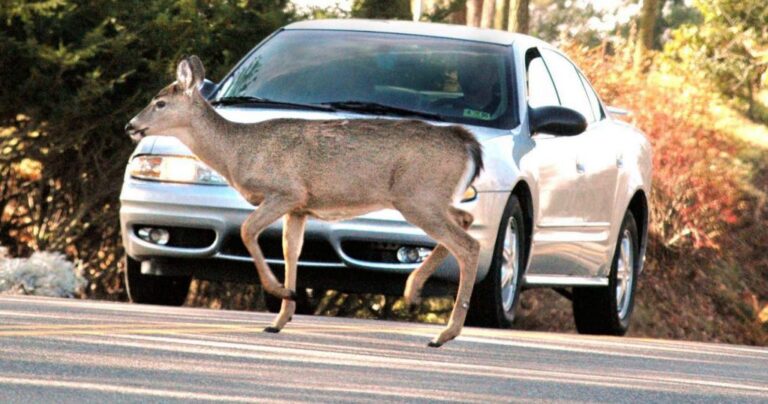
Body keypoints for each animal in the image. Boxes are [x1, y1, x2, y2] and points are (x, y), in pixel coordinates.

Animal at [125, 56, 483, 347]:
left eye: (160, 103)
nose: (131, 126)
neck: (239, 152)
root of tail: (467, 144)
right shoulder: (299, 208)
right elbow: (291, 251)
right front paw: (280, 319)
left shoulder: (286, 192)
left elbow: (247, 231)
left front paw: (281, 293)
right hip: (431, 198)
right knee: (465, 221)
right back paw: (413, 291)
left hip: (417, 197)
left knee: (469, 245)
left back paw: (443, 333)